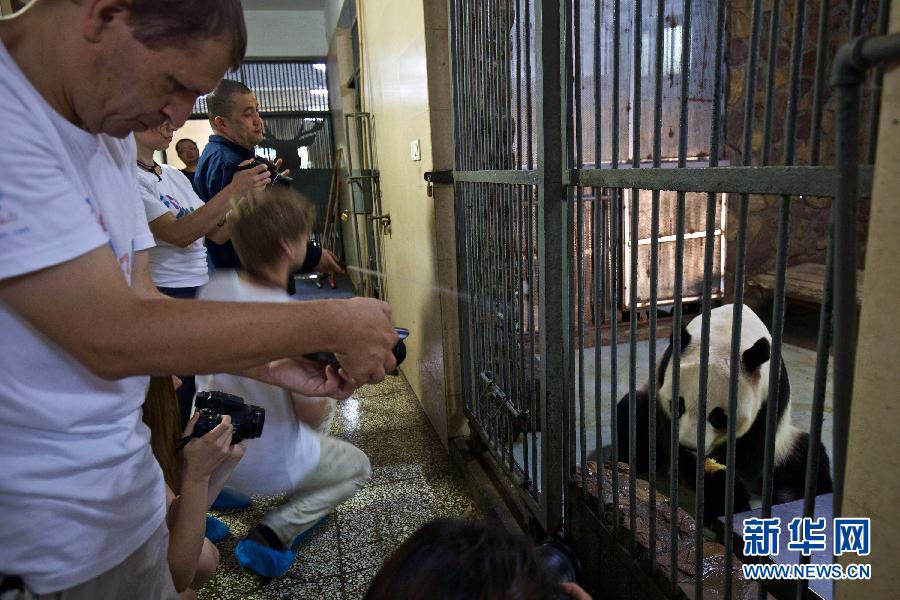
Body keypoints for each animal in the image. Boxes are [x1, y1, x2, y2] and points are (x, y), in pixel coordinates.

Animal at [616, 304, 832, 524]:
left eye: (718, 416)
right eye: (679, 405)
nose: (689, 446)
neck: (728, 334)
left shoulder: (770, 397)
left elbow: (754, 448)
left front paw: (723, 494)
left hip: (785, 445)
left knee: (806, 460)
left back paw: (790, 496)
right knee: (634, 410)